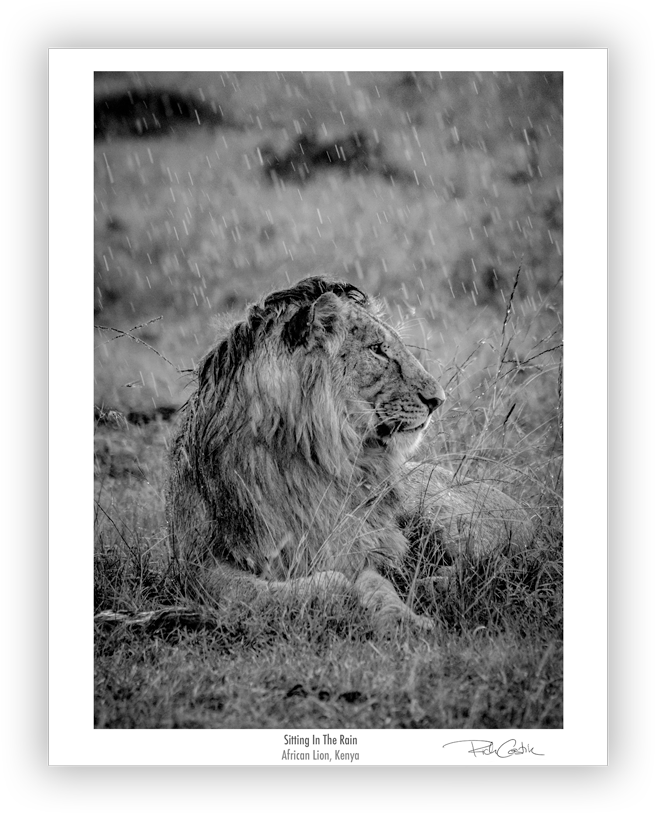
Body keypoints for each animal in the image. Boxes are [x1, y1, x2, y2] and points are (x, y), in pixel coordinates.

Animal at [166, 275, 532, 631]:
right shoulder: (199, 566)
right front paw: (352, 600)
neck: (309, 457)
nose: (438, 400)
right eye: (377, 350)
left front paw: (408, 620)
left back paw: (431, 584)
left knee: (496, 559)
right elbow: (271, 592)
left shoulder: (361, 544)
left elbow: (373, 583)